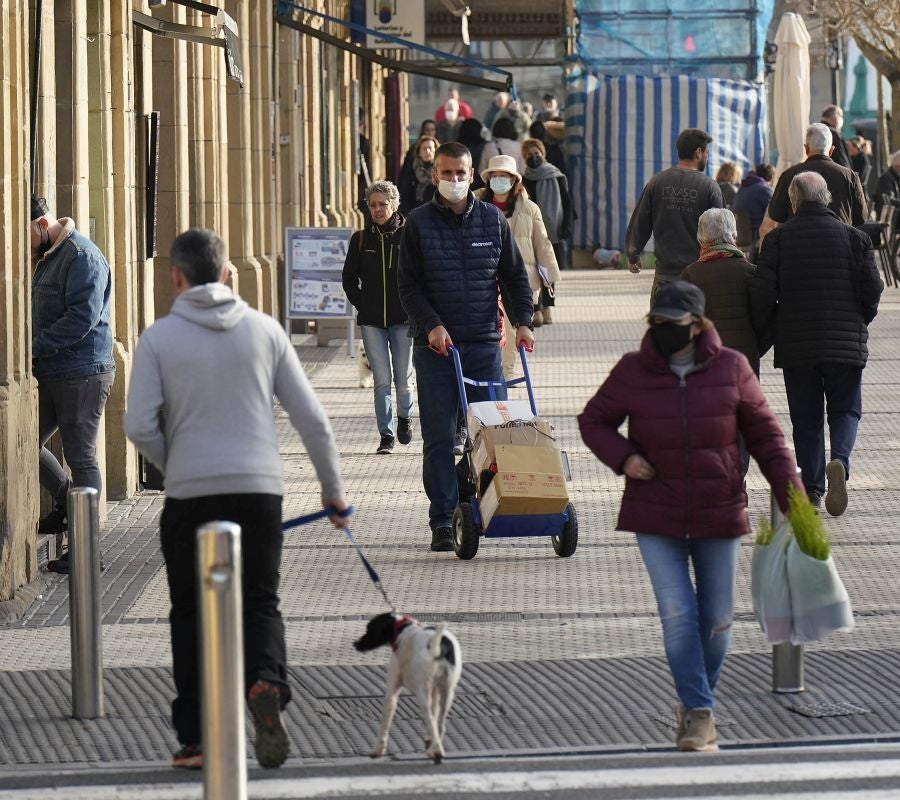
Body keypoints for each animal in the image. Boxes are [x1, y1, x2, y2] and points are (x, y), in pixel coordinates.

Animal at [354, 612, 464, 764]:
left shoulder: (392, 691)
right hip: (447, 692)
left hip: (422, 693)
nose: (355, 644)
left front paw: (377, 750)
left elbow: (384, 723)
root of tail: (440, 646)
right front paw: (429, 739)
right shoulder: (435, 691)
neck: (402, 628)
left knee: (430, 719)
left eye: (370, 629)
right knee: (440, 724)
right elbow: (434, 720)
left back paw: (437, 751)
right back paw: (435, 749)